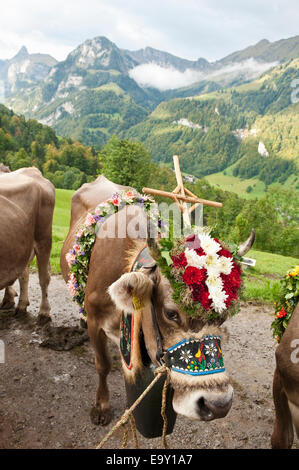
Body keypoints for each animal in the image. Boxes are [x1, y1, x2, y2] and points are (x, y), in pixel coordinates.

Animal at [0, 166, 55, 324]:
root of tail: (32, 170)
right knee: (23, 274)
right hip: (22, 246)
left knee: (44, 277)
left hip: (43, 238)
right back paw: (21, 306)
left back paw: (44, 312)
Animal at [61, 176, 255, 436]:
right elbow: (102, 364)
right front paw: (101, 407)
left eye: (222, 317)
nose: (218, 405)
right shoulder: (94, 319)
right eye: (171, 313)